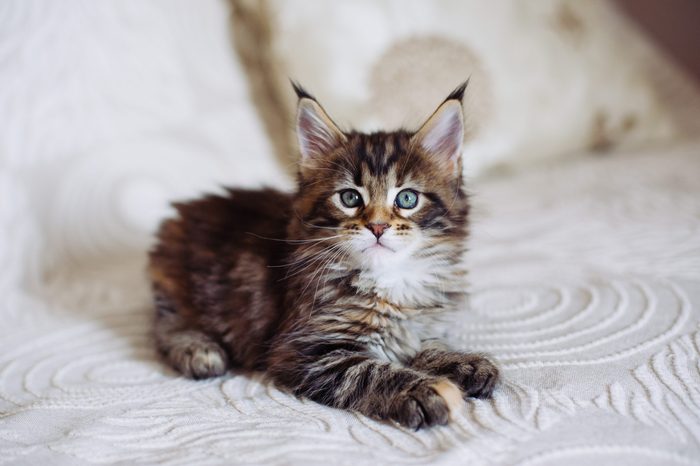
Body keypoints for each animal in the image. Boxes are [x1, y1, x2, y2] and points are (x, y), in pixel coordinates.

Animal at [149, 82, 498, 428]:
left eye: (408, 199)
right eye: (350, 198)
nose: (378, 226)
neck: (390, 282)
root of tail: (187, 209)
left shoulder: (421, 325)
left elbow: (429, 345)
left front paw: (462, 362)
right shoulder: (305, 349)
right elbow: (370, 372)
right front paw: (427, 390)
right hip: (175, 285)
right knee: (165, 327)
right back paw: (199, 351)